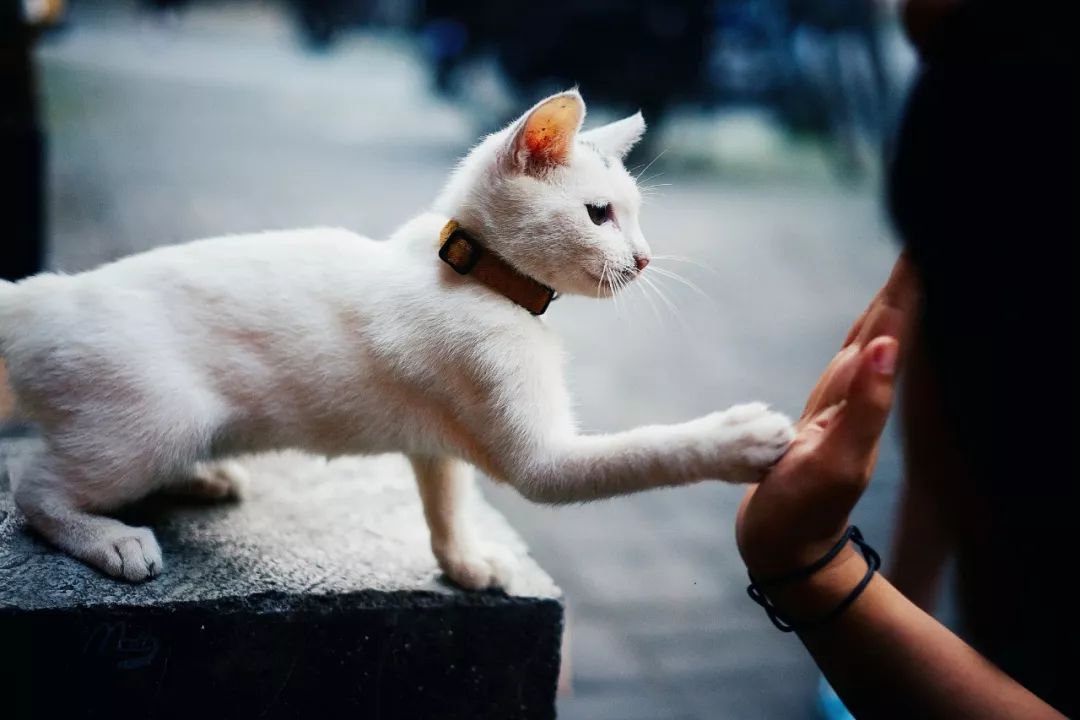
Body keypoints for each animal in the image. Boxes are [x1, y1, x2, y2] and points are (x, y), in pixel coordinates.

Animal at [0, 90, 794, 587]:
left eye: (634, 216)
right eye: (600, 214)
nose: (644, 259)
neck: (478, 276)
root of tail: (45, 294)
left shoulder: (436, 442)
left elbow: (445, 504)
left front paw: (466, 566)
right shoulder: (541, 461)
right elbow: (645, 452)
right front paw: (742, 438)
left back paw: (204, 478)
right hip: (163, 418)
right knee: (32, 487)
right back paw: (113, 539)